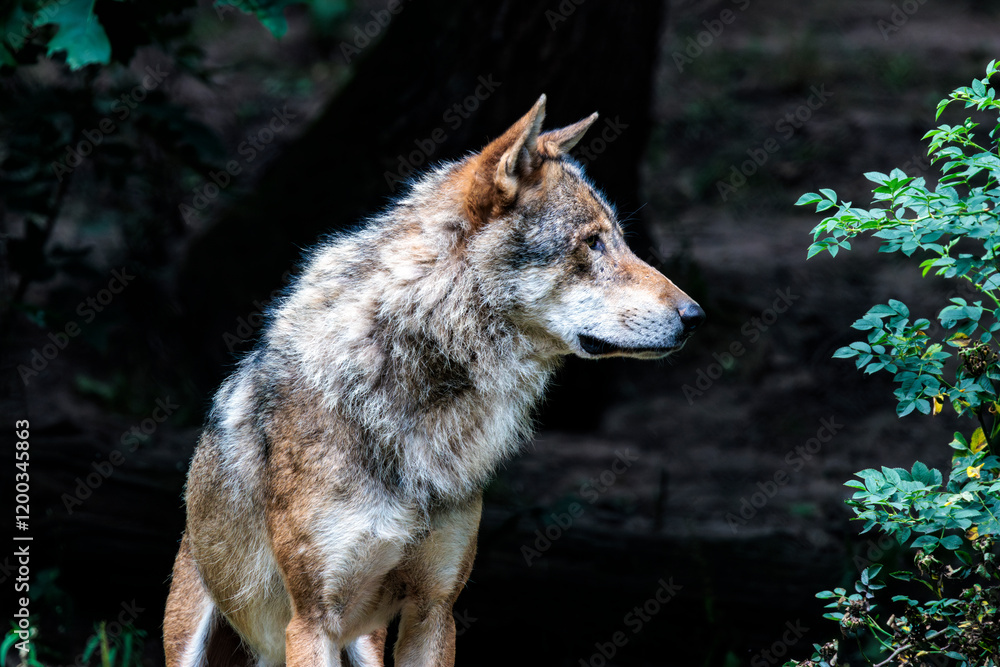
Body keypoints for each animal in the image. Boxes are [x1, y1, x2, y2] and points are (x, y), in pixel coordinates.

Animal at [163, 95, 704, 667]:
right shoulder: (312, 621)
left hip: (366, 645)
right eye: (593, 243)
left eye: (618, 240)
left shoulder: (435, 608)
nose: (695, 316)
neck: (418, 396)